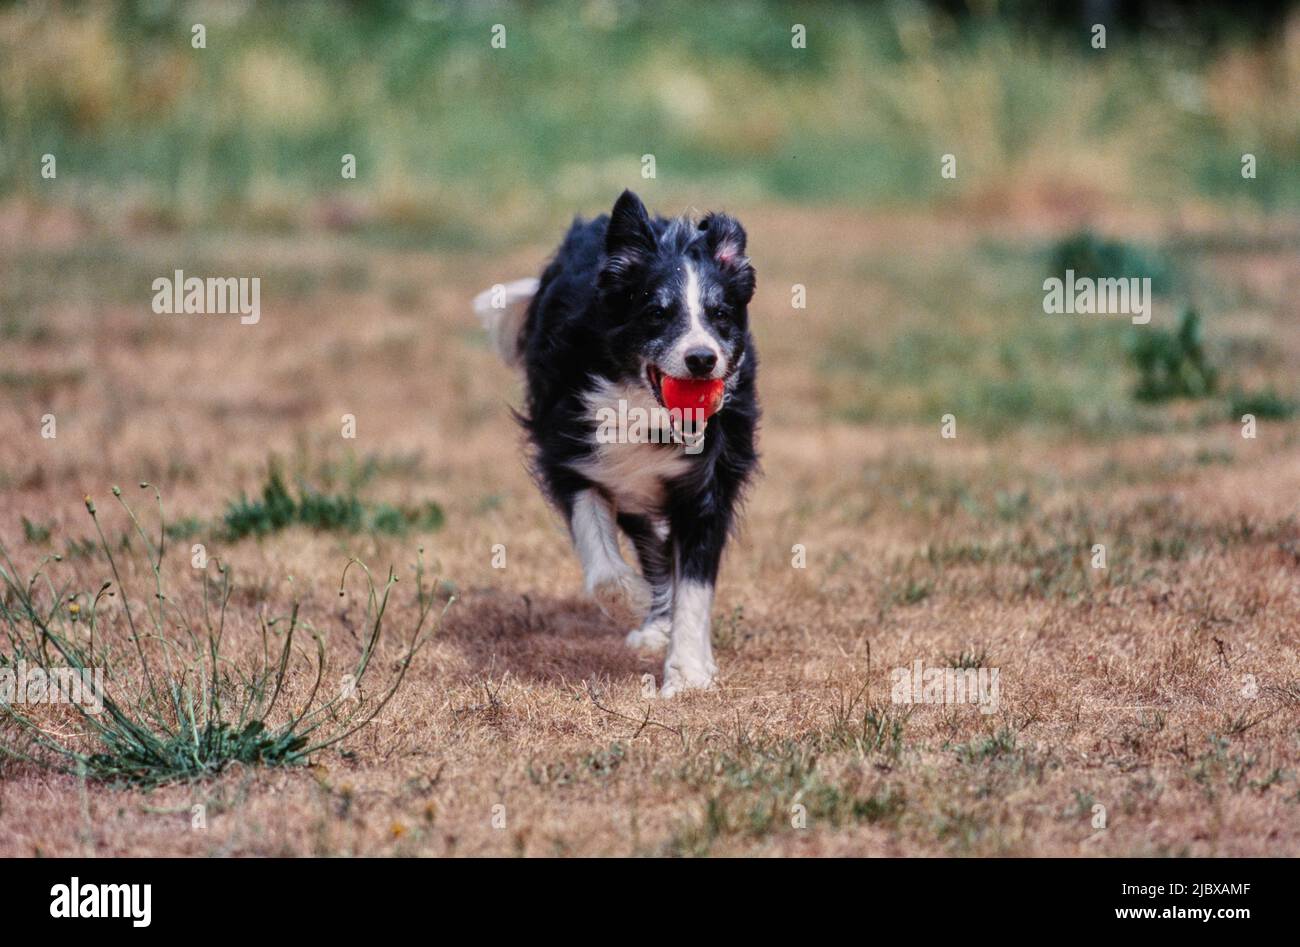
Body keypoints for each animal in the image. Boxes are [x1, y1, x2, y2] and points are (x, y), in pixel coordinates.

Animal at [475, 189, 759, 697]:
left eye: (720, 314)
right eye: (656, 313)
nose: (702, 359)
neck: (643, 408)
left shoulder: (708, 479)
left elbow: (695, 582)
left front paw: (688, 672)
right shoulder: (572, 453)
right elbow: (603, 559)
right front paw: (640, 603)